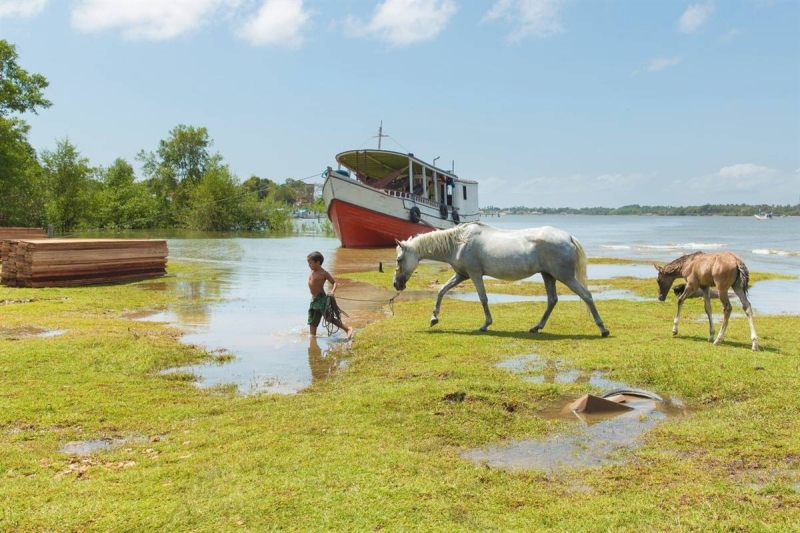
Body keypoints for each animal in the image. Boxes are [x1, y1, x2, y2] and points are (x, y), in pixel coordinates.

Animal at [390, 222, 608, 334]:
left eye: (399, 259)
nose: (396, 284)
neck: (459, 242)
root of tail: (569, 237)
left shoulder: (475, 274)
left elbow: (483, 298)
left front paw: (485, 324)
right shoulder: (462, 275)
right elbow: (441, 290)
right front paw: (434, 318)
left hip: (564, 276)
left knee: (586, 295)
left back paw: (603, 328)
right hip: (548, 276)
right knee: (552, 300)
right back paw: (536, 327)